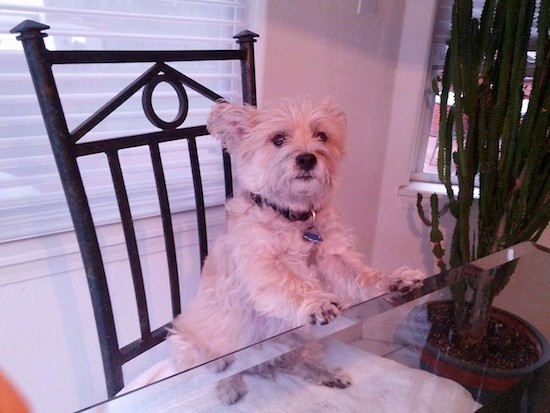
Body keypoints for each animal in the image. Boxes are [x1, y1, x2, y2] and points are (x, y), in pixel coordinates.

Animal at [170, 99, 424, 402]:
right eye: (278, 138)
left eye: (322, 136)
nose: (307, 158)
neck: (294, 215)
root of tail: (262, 362)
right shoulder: (264, 265)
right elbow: (292, 283)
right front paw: (318, 302)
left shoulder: (334, 256)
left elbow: (361, 274)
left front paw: (395, 279)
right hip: (188, 341)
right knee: (216, 367)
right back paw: (229, 383)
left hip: (299, 338)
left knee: (300, 361)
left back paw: (327, 374)